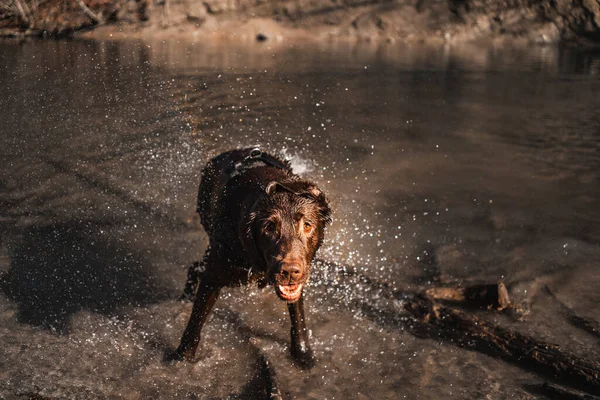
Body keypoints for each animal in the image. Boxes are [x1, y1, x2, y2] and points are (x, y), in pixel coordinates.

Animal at [172, 148, 332, 368]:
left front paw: (303, 355)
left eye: (307, 225)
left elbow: (298, 319)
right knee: (196, 269)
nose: (289, 271)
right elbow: (195, 323)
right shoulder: (214, 275)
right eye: (269, 227)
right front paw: (181, 358)